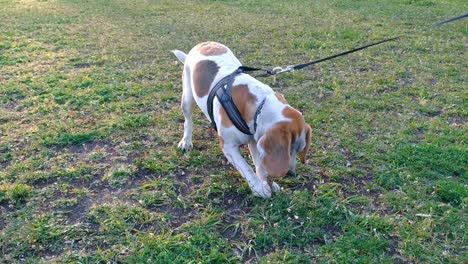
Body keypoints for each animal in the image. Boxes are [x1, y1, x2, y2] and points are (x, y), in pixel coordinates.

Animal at [172, 41, 310, 198]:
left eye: (299, 150)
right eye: (289, 150)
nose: (290, 173)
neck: (260, 105)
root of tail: (203, 44)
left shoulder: (255, 140)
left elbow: (259, 164)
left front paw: (266, 182)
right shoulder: (228, 146)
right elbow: (246, 168)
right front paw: (258, 187)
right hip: (187, 100)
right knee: (188, 122)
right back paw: (186, 141)